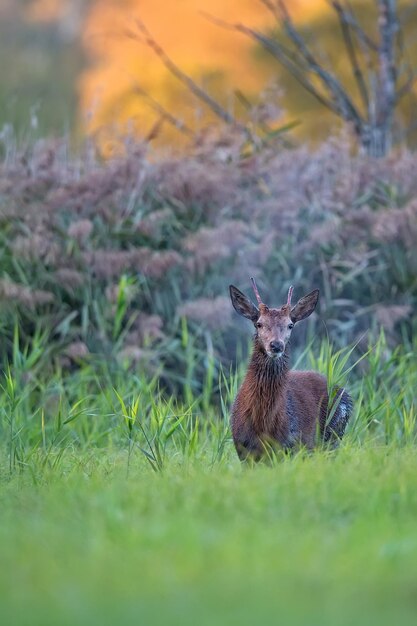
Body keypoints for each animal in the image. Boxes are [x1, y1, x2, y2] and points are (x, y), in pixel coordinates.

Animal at [228, 278, 352, 458]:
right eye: (259, 324)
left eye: (290, 325)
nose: (276, 345)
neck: (262, 424)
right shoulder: (242, 447)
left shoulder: (291, 444)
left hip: (333, 433)